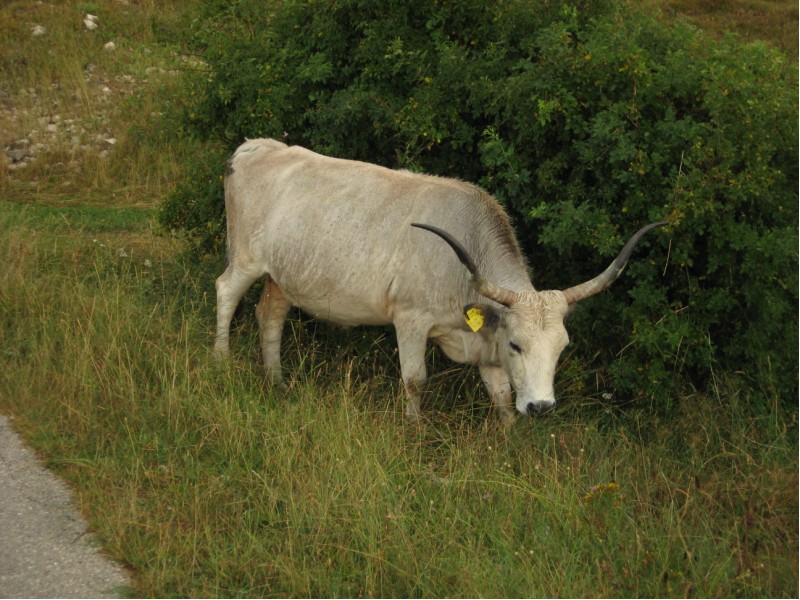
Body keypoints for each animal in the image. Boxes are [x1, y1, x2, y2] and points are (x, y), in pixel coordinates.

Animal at [211, 138, 664, 424]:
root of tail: (256, 145)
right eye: (517, 345)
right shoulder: (410, 319)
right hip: (247, 259)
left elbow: (501, 397)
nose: (541, 407)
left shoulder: (484, 345)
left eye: (562, 348)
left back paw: (278, 383)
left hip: (282, 276)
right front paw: (413, 431)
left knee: (270, 316)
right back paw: (222, 361)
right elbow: (415, 381)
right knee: (226, 292)